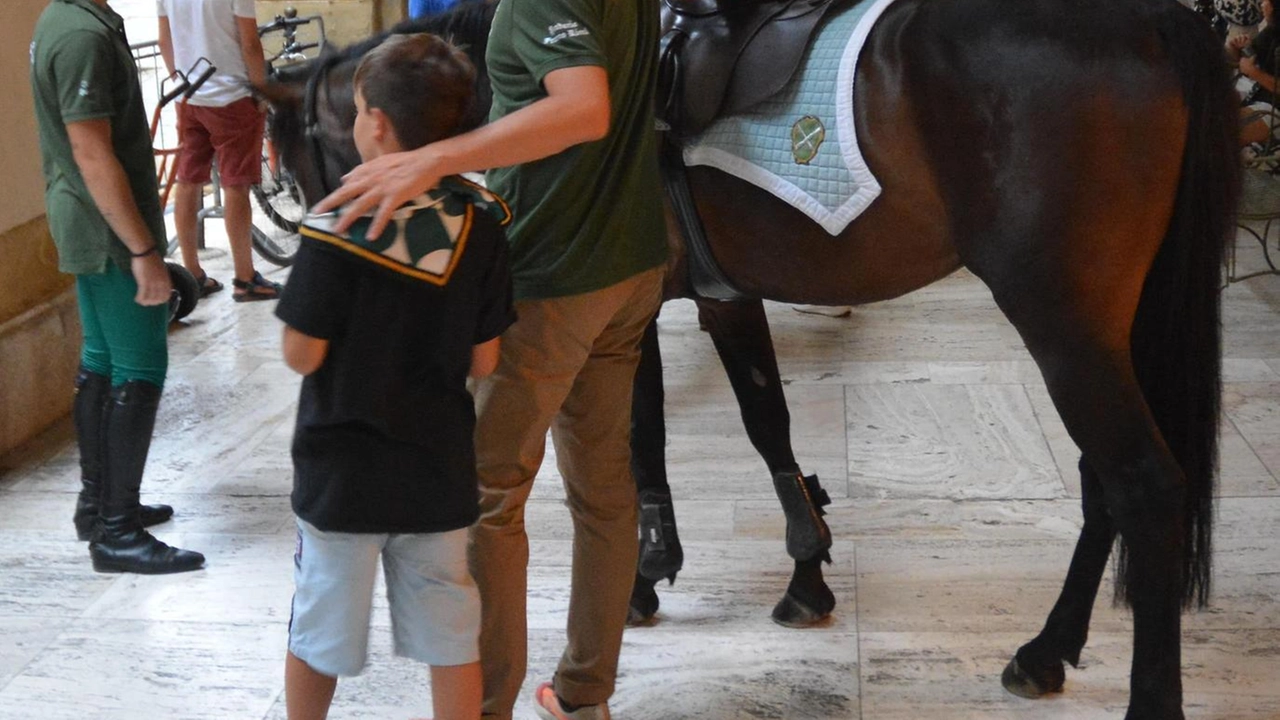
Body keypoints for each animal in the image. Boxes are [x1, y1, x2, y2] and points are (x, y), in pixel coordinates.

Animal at [257, 2, 1239, 712]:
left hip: (1062, 321)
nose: (322, 246)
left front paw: (643, 578)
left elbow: (642, 442)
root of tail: (1156, 19)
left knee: (1144, 483)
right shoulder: (723, 297)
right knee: (1103, 481)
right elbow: (769, 426)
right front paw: (807, 571)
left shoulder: (629, 307)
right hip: (1107, 325)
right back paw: (1047, 649)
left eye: (302, 165)